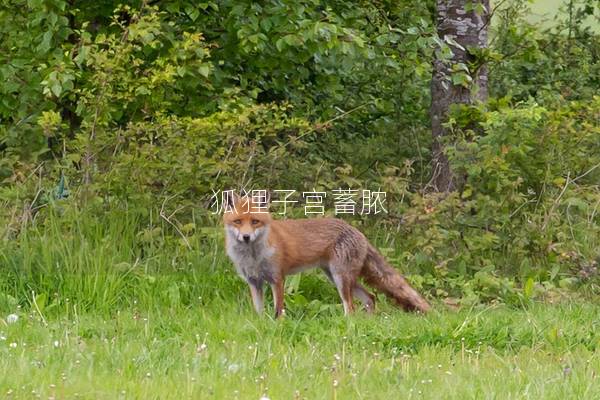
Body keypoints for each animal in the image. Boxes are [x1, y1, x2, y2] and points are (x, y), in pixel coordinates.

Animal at [223, 192, 428, 318]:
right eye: (238, 221)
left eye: (255, 221)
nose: (246, 237)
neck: (253, 257)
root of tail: (358, 232)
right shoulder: (254, 282)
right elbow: (258, 312)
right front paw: (260, 325)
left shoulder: (277, 279)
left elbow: (278, 311)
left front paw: (277, 325)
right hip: (336, 277)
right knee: (371, 298)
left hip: (340, 279)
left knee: (351, 308)